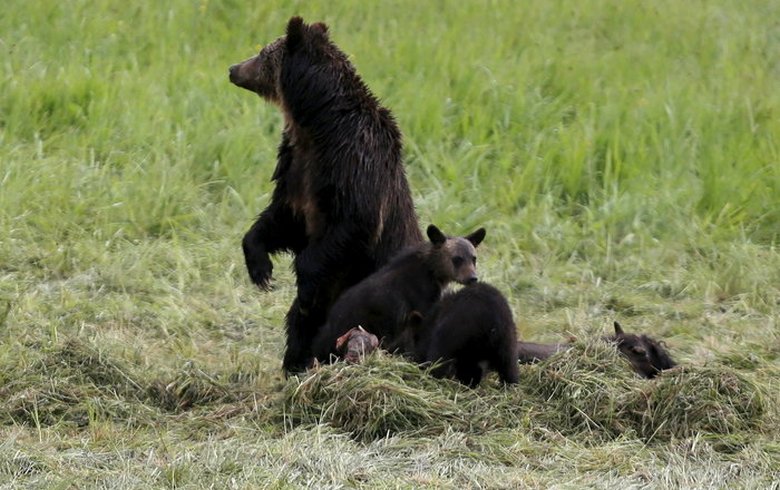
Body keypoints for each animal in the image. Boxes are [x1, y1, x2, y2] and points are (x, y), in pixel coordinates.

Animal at [229, 17, 424, 374]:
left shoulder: (352, 164)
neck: (316, 126)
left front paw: (303, 284)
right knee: (300, 326)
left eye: (263, 53)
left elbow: (351, 225)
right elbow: (281, 219)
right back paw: (296, 363)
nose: (233, 68)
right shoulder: (296, 168)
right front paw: (260, 269)